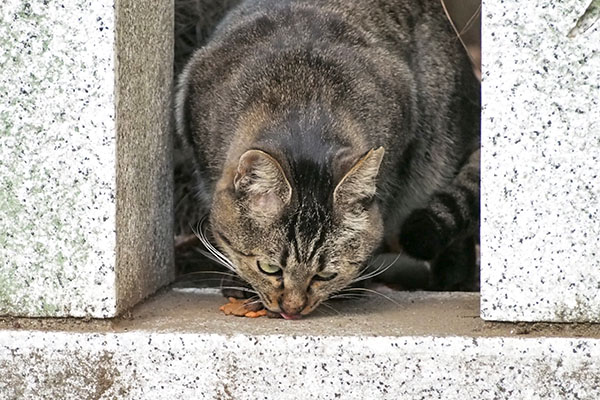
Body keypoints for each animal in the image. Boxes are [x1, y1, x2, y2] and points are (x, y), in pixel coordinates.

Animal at [173, 0, 478, 318]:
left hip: (439, 150)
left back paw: (454, 282)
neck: (303, 100)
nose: (292, 309)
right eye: (269, 268)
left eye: (325, 275)